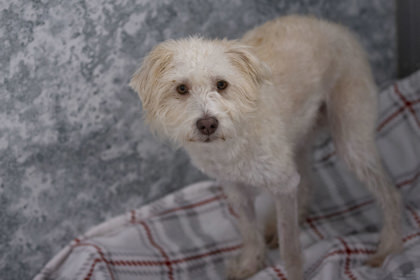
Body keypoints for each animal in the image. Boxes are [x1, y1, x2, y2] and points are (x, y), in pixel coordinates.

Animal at [129, 15, 404, 280]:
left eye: (222, 84)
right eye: (181, 89)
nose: (207, 124)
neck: (235, 136)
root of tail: (337, 27)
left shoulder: (283, 186)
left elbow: (290, 249)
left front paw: (294, 275)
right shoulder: (236, 190)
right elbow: (249, 232)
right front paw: (250, 264)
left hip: (351, 142)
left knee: (390, 194)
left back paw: (388, 247)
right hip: (299, 141)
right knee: (307, 181)